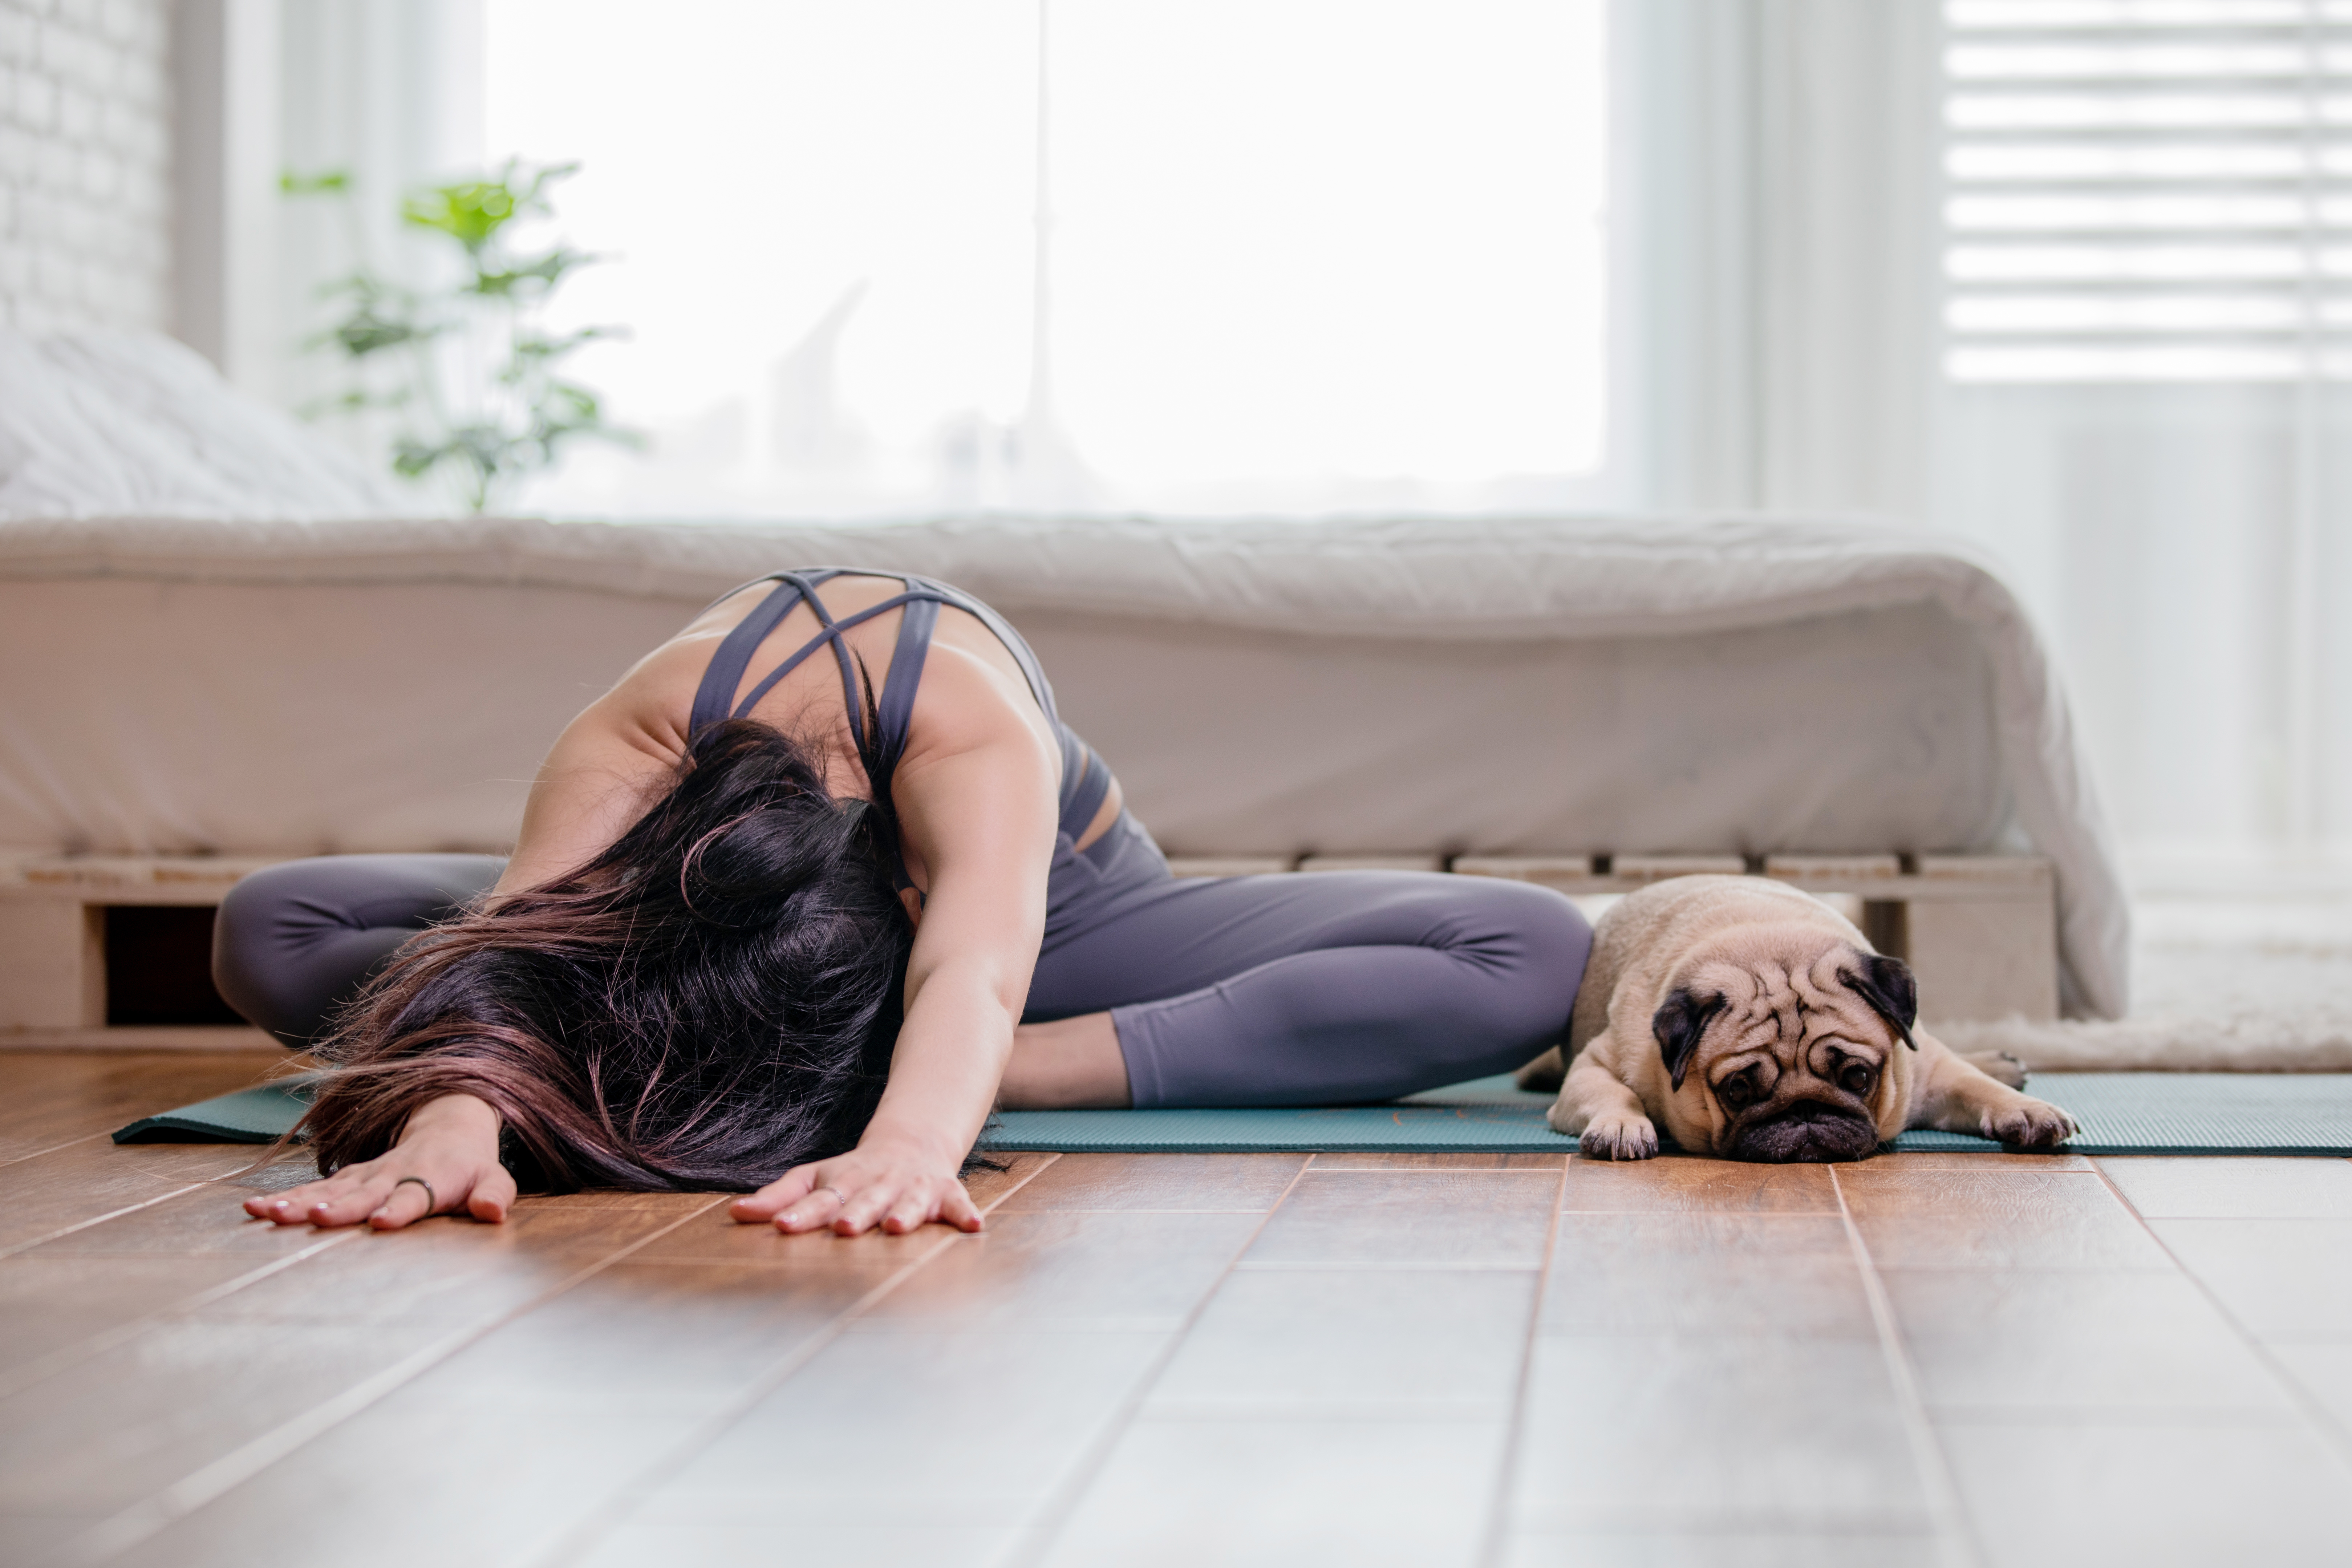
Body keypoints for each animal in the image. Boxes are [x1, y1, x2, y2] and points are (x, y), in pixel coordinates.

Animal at [1514, 879, 2069, 1161]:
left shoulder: (1923, 1070)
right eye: (1738, 1090)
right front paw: (1623, 1124)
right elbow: (1616, 1093)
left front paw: (2025, 1109)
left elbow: (1973, 1086)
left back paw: (2001, 1063)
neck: (1766, 941)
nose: (1803, 1111)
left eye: (1859, 1077)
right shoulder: (1596, 1065)